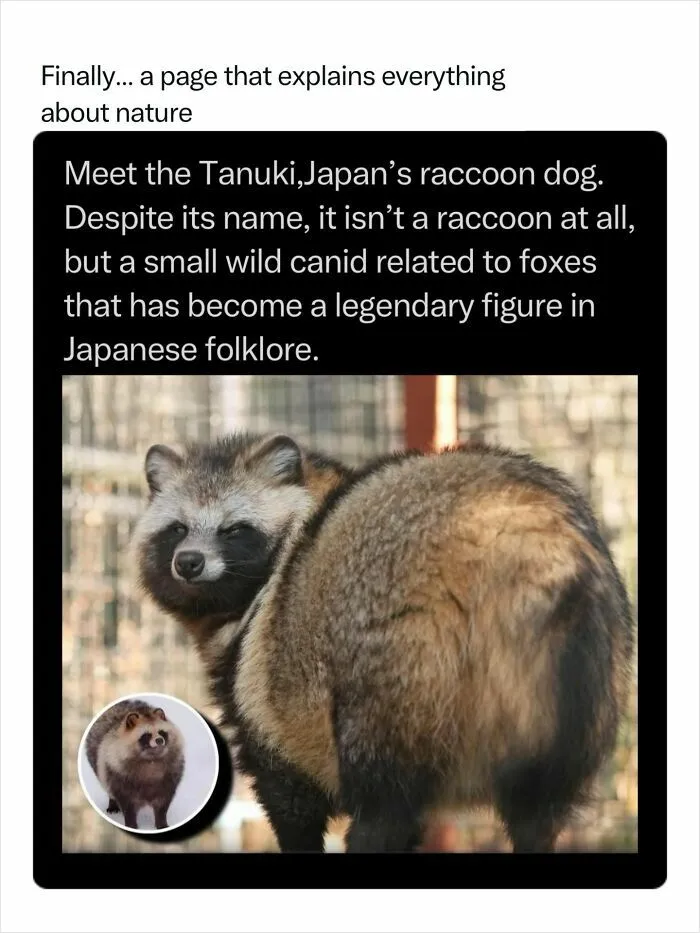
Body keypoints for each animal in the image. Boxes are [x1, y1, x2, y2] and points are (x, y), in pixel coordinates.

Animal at [85, 699, 184, 830]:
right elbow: (128, 806)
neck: (151, 760)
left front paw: (162, 822)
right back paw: (112, 802)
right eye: (146, 735)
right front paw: (131, 824)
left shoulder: (170, 776)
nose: (159, 740)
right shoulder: (118, 775)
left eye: (161, 732)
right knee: (107, 785)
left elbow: (162, 804)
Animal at [132, 433, 634, 852]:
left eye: (234, 529)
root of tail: (522, 529)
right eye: (177, 529)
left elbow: (292, 805)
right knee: (537, 815)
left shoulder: (266, 706)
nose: (189, 562)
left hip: (393, 679)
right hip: (580, 690)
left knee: (383, 810)